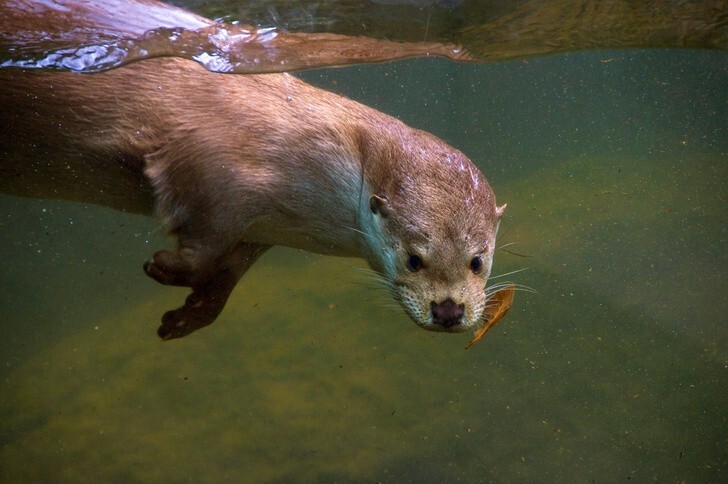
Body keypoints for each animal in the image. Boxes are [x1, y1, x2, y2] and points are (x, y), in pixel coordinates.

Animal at [1, 57, 506, 340]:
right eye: (413, 259)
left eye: (477, 261)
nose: (448, 311)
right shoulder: (219, 168)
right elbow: (204, 237)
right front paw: (165, 267)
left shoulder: (261, 227)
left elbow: (227, 269)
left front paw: (189, 315)